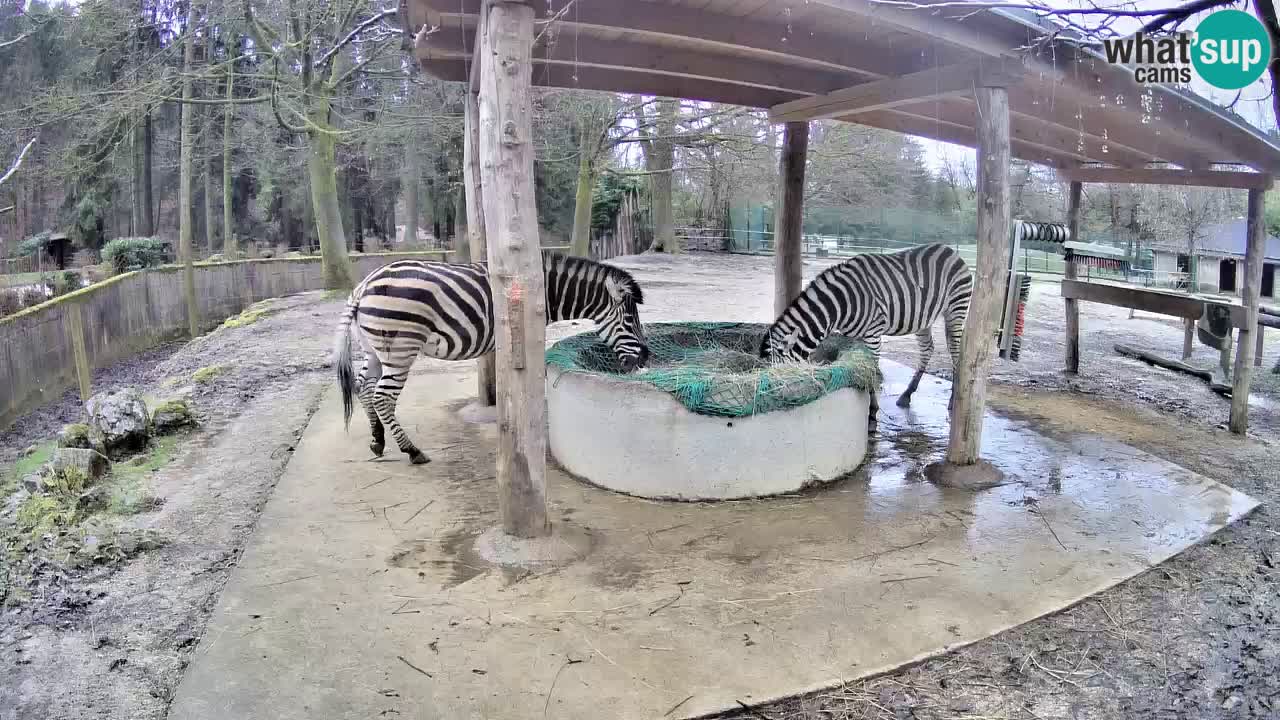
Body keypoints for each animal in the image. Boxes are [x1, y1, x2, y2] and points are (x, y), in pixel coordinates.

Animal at [332, 254, 650, 461]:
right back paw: (412, 451)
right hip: (400, 348)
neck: (543, 290)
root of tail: (364, 286)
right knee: (382, 396)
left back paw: (377, 440)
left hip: (373, 348)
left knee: (363, 387)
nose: (646, 359)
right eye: (630, 321)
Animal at [757, 243, 967, 427]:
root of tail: (949, 250)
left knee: (955, 352)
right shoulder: (857, 337)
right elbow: (862, 366)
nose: (766, 404)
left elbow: (871, 368)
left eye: (780, 377)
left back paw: (953, 400)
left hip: (956, 309)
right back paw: (906, 395)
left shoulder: (874, 333)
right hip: (923, 318)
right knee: (927, 349)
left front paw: (872, 411)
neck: (840, 305)